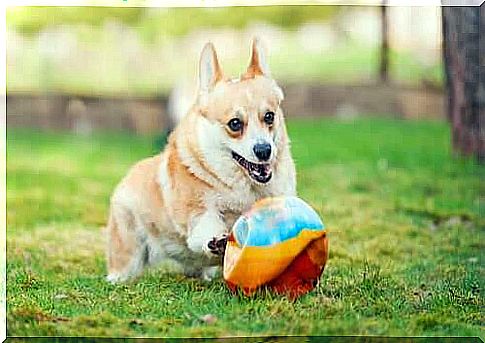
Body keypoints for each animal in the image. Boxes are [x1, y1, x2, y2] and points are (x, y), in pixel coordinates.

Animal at [105, 39, 294, 284]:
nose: (264, 150)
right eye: (235, 123)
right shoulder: (198, 213)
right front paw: (218, 241)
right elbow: (207, 226)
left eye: (269, 116)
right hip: (129, 244)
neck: (243, 187)